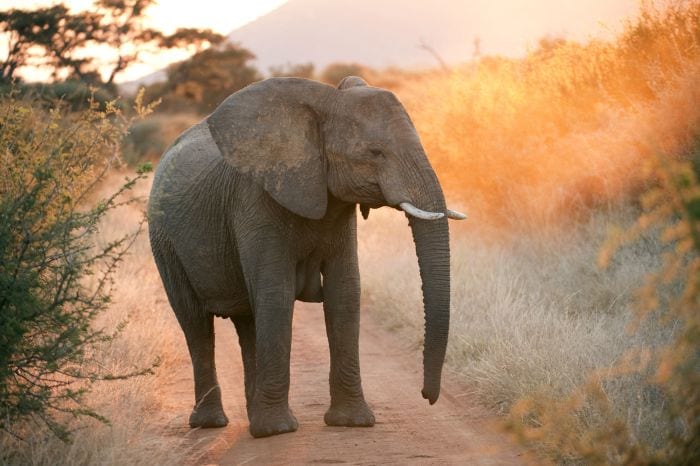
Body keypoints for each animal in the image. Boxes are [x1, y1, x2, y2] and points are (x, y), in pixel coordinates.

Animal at [148, 76, 465, 438]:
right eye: (374, 153)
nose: (427, 395)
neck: (323, 106)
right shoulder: (255, 201)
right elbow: (276, 294)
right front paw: (278, 431)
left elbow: (345, 292)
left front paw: (353, 422)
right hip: (165, 242)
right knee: (196, 324)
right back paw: (215, 423)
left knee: (248, 322)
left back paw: (252, 418)